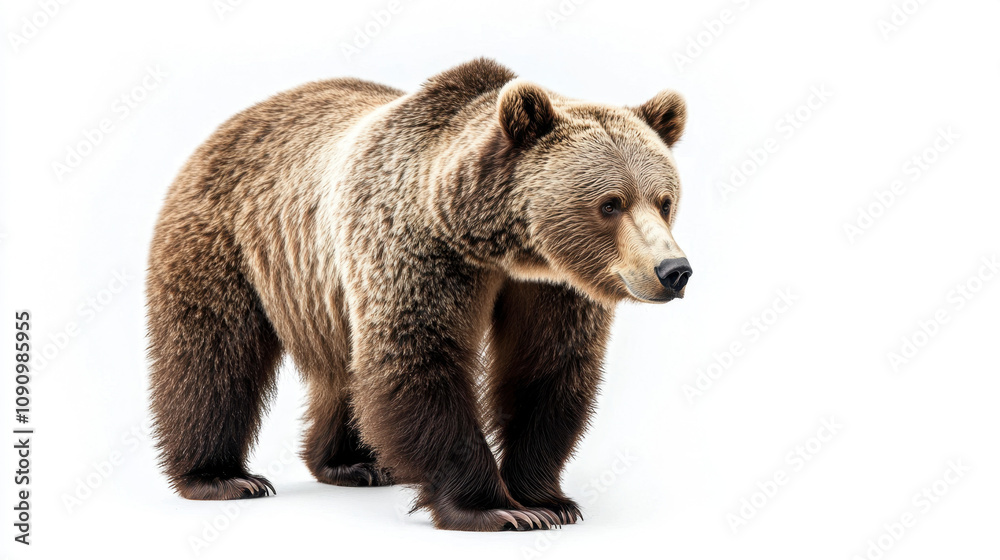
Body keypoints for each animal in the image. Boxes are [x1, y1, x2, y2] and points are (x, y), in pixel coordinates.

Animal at [147, 58, 691, 531]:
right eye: (611, 204)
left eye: (664, 200)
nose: (674, 271)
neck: (498, 246)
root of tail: (232, 122)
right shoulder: (416, 249)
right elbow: (418, 361)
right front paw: (495, 508)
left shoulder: (553, 287)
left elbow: (546, 369)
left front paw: (546, 499)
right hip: (229, 240)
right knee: (212, 353)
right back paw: (222, 477)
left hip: (324, 292)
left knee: (345, 369)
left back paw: (354, 463)